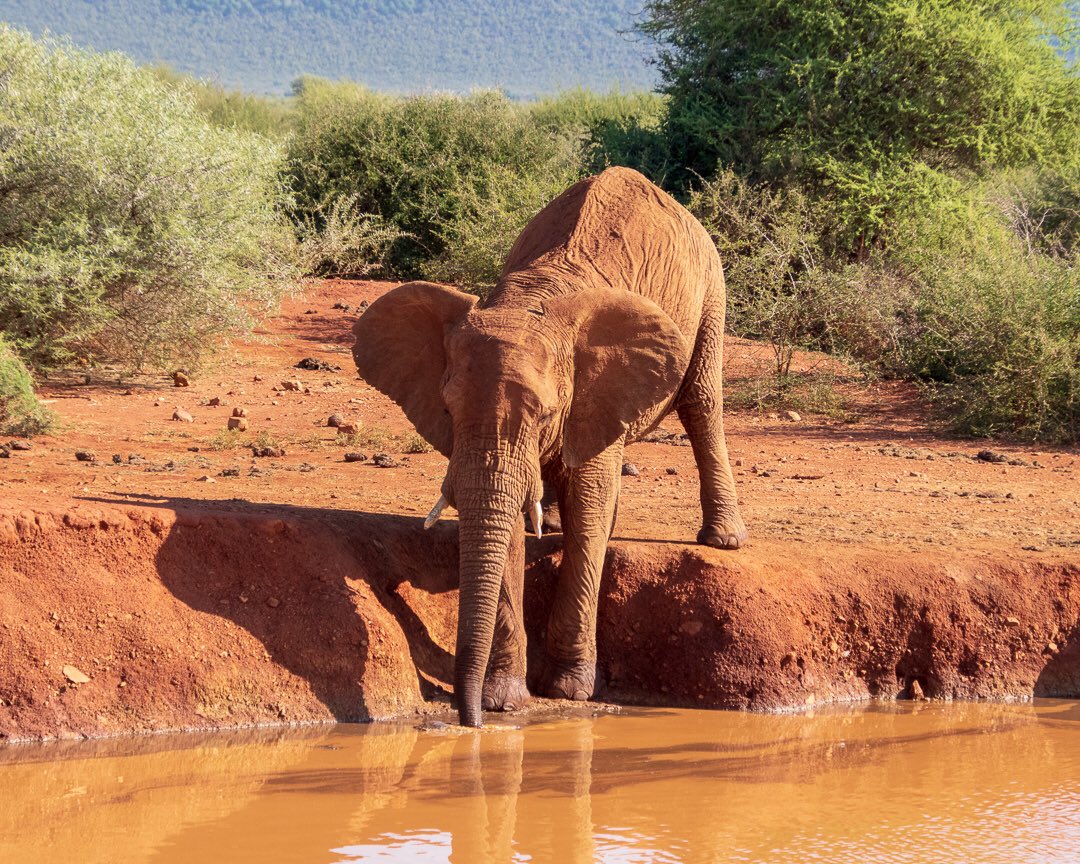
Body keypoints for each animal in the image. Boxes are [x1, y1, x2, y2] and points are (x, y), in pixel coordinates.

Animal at [353, 166, 747, 727]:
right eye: (448, 410)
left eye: (543, 414)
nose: (468, 721)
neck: (531, 301)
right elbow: (504, 519)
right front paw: (502, 699)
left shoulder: (590, 391)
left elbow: (590, 505)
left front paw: (566, 689)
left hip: (711, 286)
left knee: (701, 401)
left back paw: (723, 539)